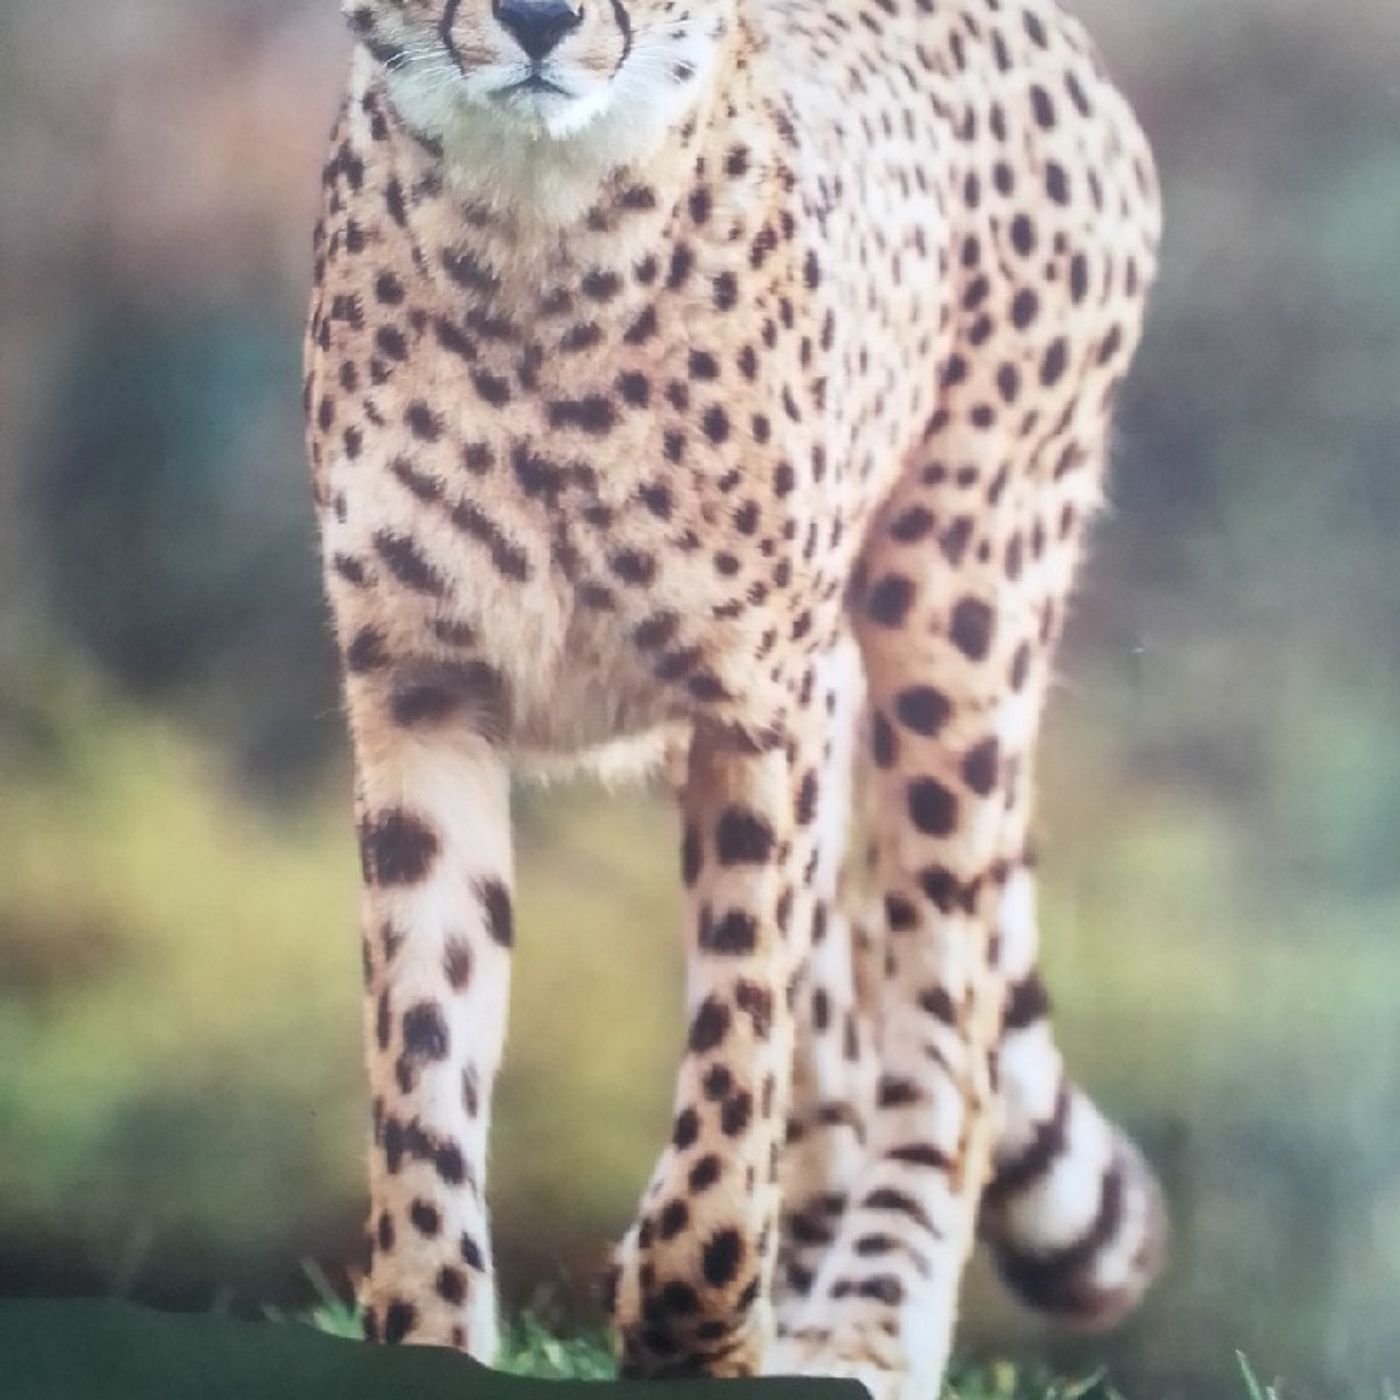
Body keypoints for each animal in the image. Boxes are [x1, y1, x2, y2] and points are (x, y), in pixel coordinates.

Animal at [303, 0, 1167, 1394]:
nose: (539, 22)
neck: (537, 228)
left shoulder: (757, 703)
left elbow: (734, 1057)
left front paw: (685, 1321)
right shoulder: (421, 692)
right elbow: (423, 1062)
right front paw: (428, 1333)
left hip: (958, 607)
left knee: (942, 1025)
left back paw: (862, 1320)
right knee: (843, 1042)